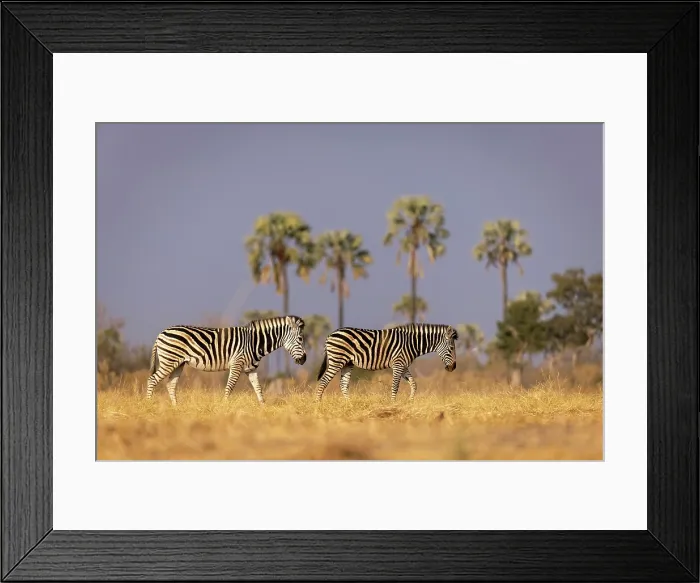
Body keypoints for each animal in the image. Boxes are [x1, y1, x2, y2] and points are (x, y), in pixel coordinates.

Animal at [146, 315, 307, 406]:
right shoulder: (237, 363)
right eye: (300, 339)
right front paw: (224, 408)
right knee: (152, 380)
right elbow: (229, 387)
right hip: (169, 361)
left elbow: (258, 388)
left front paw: (263, 408)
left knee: (170, 384)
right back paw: (148, 405)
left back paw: (176, 408)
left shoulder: (251, 368)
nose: (304, 359)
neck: (254, 342)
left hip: (178, 363)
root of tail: (161, 333)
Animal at [315, 323, 458, 402]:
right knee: (323, 381)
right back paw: (318, 403)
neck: (412, 343)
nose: (453, 368)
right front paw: (393, 404)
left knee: (343, 384)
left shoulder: (403, 365)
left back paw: (349, 404)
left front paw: (410, 402)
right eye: (451, 348)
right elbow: (395, 386)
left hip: (347, 363)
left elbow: (414, 384)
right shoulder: (398, 364)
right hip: (337, 360)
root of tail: (331, 335)